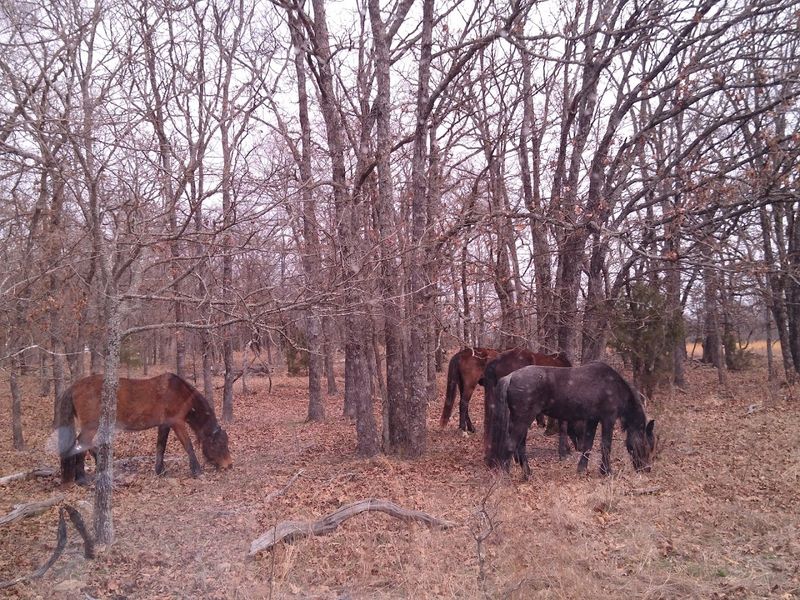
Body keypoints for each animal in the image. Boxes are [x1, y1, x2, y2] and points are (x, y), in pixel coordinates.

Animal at [54, 372, 232, 484]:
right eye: (219, 444)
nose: (229, 465)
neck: (179, 394)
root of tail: (74, 386)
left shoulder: (164, 425)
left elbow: (160, 447)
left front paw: (160, 471)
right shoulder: (177, 423)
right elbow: (188, 446)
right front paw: (196, 471)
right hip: (91, 426)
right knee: (82, 445)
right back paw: (82, 479)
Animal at [488, 361, 656, 478]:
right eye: (646, 445)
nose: (646, 469)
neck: (613, 386)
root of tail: (510, 377)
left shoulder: (592, 420)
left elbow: (588, 445)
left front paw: (582, 469)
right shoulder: (608, 419)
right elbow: (606, 445)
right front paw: (606, 471)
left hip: (520, 421)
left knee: (520, 447)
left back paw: (527, 475)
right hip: (523, 420)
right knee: (511, 445)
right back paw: (506, 477)